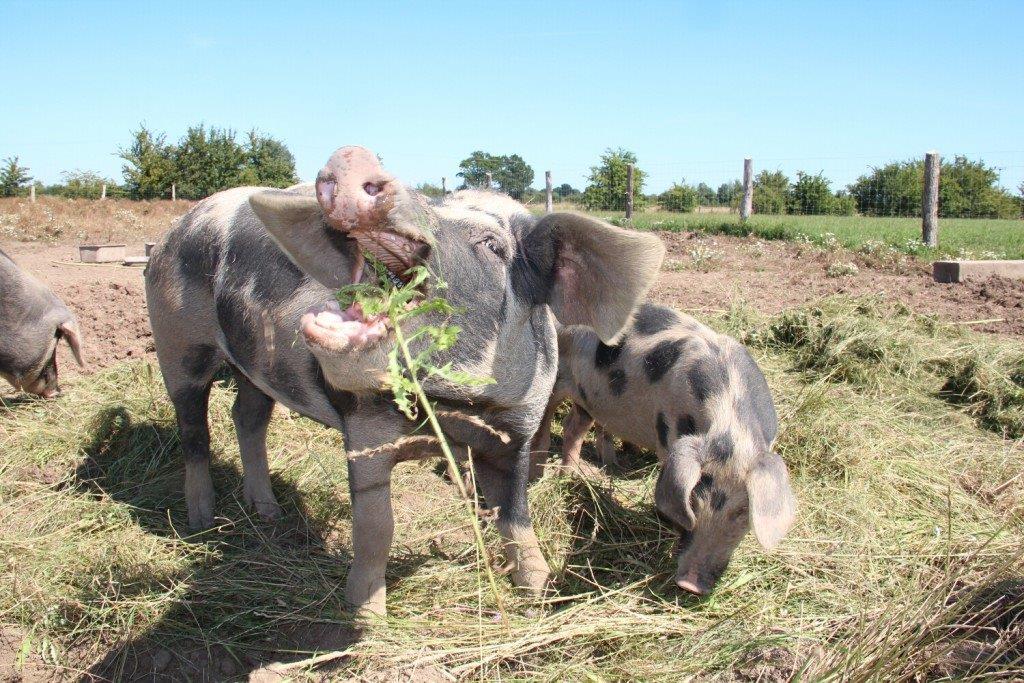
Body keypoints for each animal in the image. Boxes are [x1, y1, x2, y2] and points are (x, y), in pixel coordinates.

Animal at [144, 147, 663, 618]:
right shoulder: (363, 430)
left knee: (247, 417)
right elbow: (376, 527)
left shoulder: (518, 431)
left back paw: (268, 511)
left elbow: (516, 514)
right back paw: (201, 521)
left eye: (493, 246)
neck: (457, 408)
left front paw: (537, 591)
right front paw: (367, 615)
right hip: (177, 342)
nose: (354, 156)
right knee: (194, 430)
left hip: (254, 368)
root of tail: (176, 228)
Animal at [532, 305, 794, 598]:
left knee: (572, 429)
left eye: (741, 513)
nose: (690, 584)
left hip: (588, 398)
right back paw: (538, 475)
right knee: (544, 428)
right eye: (693, 503)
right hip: (554, 381)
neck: (731, 426)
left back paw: (571, 476)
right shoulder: (666, 437)